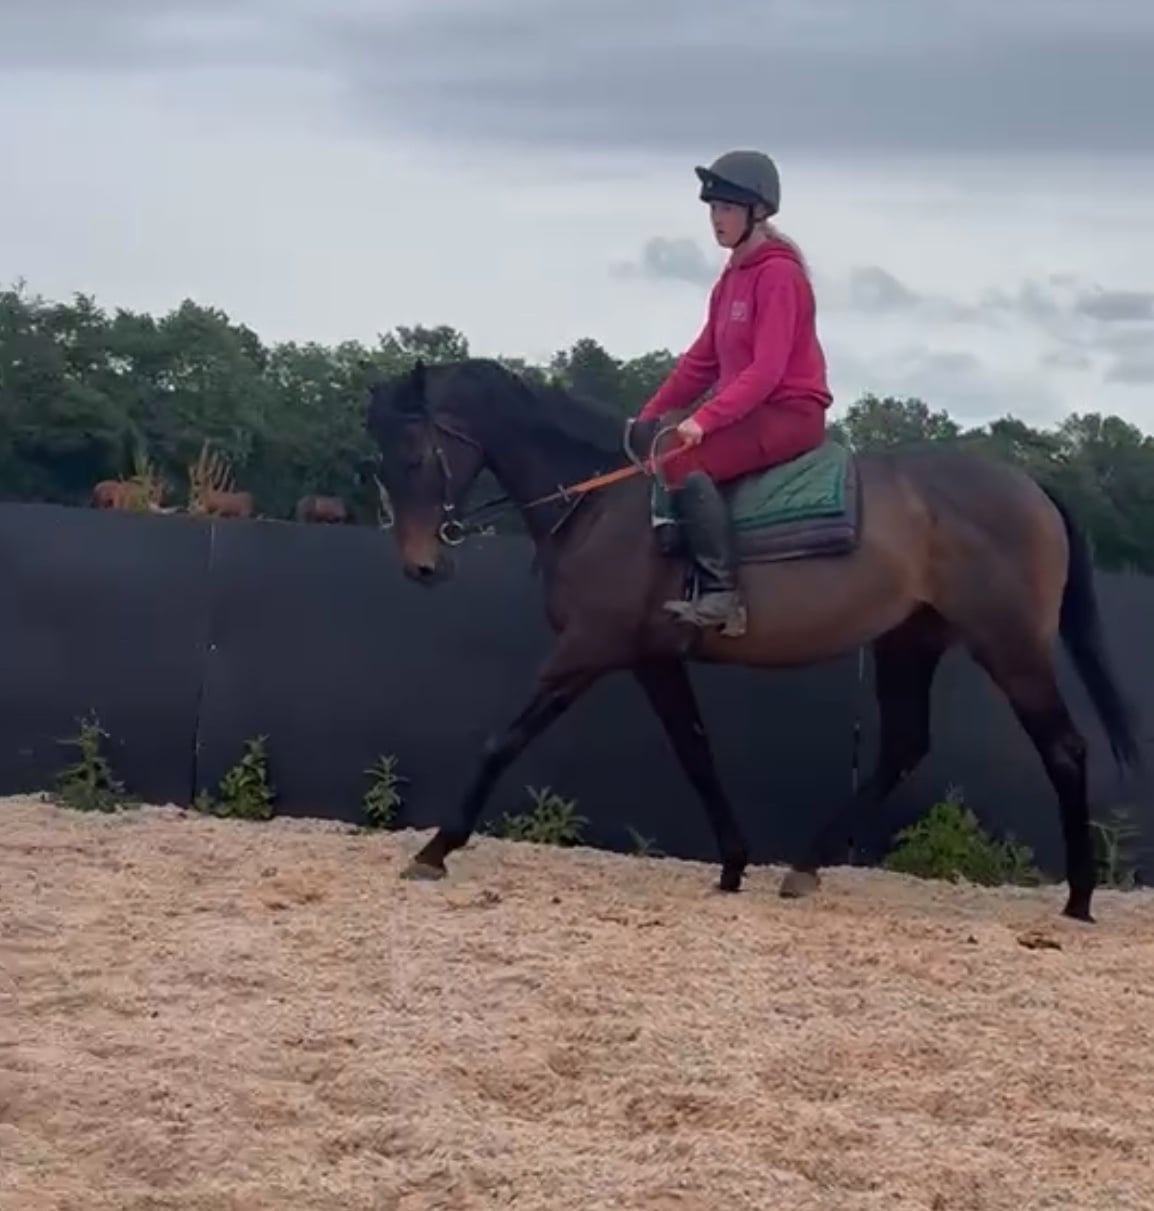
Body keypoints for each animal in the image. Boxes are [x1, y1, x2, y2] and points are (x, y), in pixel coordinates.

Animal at [364, 356, 1141, 923]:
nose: (420, 565)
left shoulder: (587, 650)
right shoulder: (653, 660)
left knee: (1064, 748)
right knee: (903, 746)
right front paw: (734, 862)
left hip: (1009, 646)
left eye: (414, 455)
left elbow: (504, 740)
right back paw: (805, 866)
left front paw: (436, 848)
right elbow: (697, 754)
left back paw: (1079, 898)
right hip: (909, 643)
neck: (603, 502)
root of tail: (1029, 485)